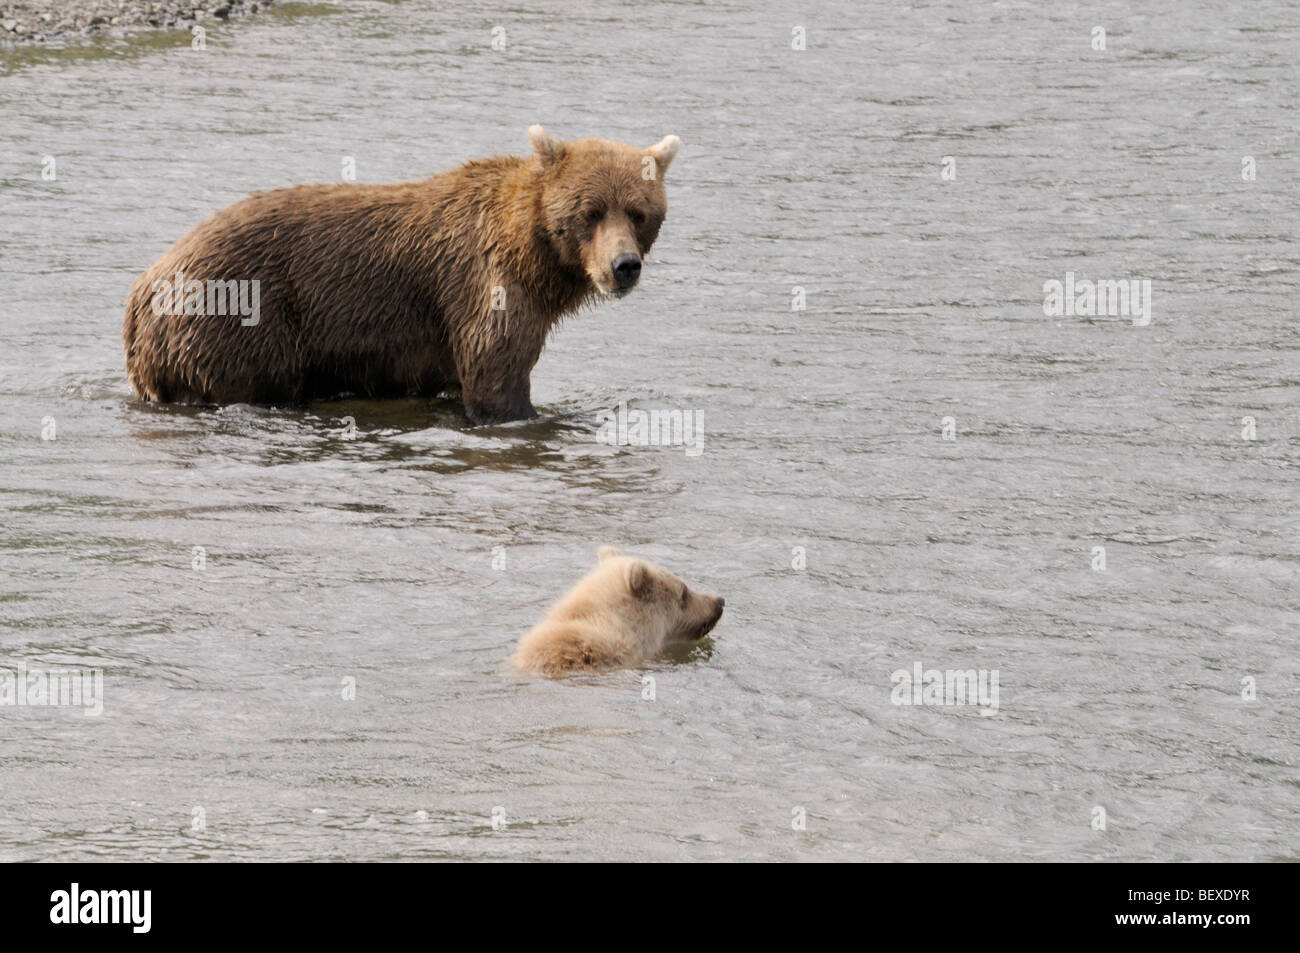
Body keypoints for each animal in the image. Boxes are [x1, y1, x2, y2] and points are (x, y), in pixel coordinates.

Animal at [122, 126, 682, 424]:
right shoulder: (485, 284)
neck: (535, 250)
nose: (623, 266)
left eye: (638, 212)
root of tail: (143, 287)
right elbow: (496, 373)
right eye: (591, 211)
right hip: (236, 318)